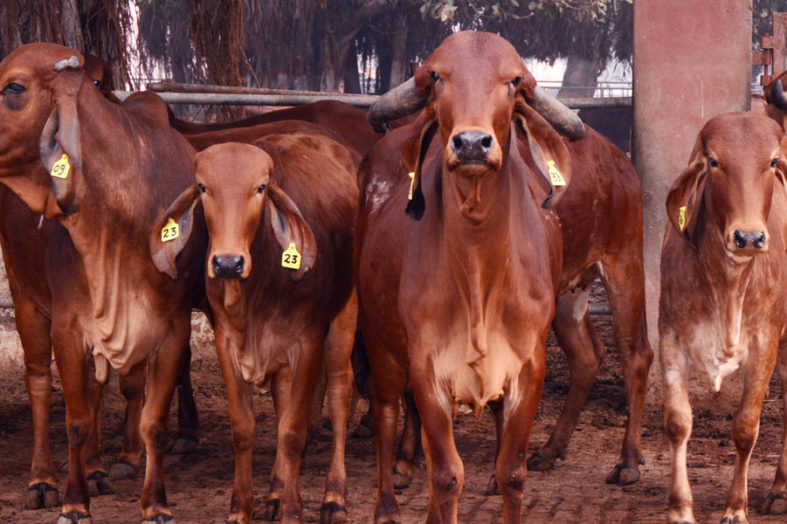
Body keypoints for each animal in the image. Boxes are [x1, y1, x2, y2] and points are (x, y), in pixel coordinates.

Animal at [152, 135, 360, 524]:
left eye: (261, 187)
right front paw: (242, 508)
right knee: (283, 401)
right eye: (203, 187)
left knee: (340, 394)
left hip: (343, 322)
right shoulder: (226, 342)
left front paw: (293, 512)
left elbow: (293, 432)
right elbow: (245, 429)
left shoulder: (307, 341)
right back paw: (277, 490)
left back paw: (333, 497)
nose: (227, 263)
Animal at [356, 31, 584, 524]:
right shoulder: (427, 371)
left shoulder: (528, 370)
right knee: (385, 414)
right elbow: (446, 474)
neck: (479, 271)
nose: (473, 144)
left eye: (513, 81)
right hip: (380, 343)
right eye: (437, 77)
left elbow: (511, 473)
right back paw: (386, 505)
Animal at [660, 111, 787, 524]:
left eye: (773, 161)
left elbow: (746, 428)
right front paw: (680, 508)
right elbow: (678, 422)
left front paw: (736, 507)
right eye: (714, 161)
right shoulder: (670, 339)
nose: (749, 237)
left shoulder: (764, 347)